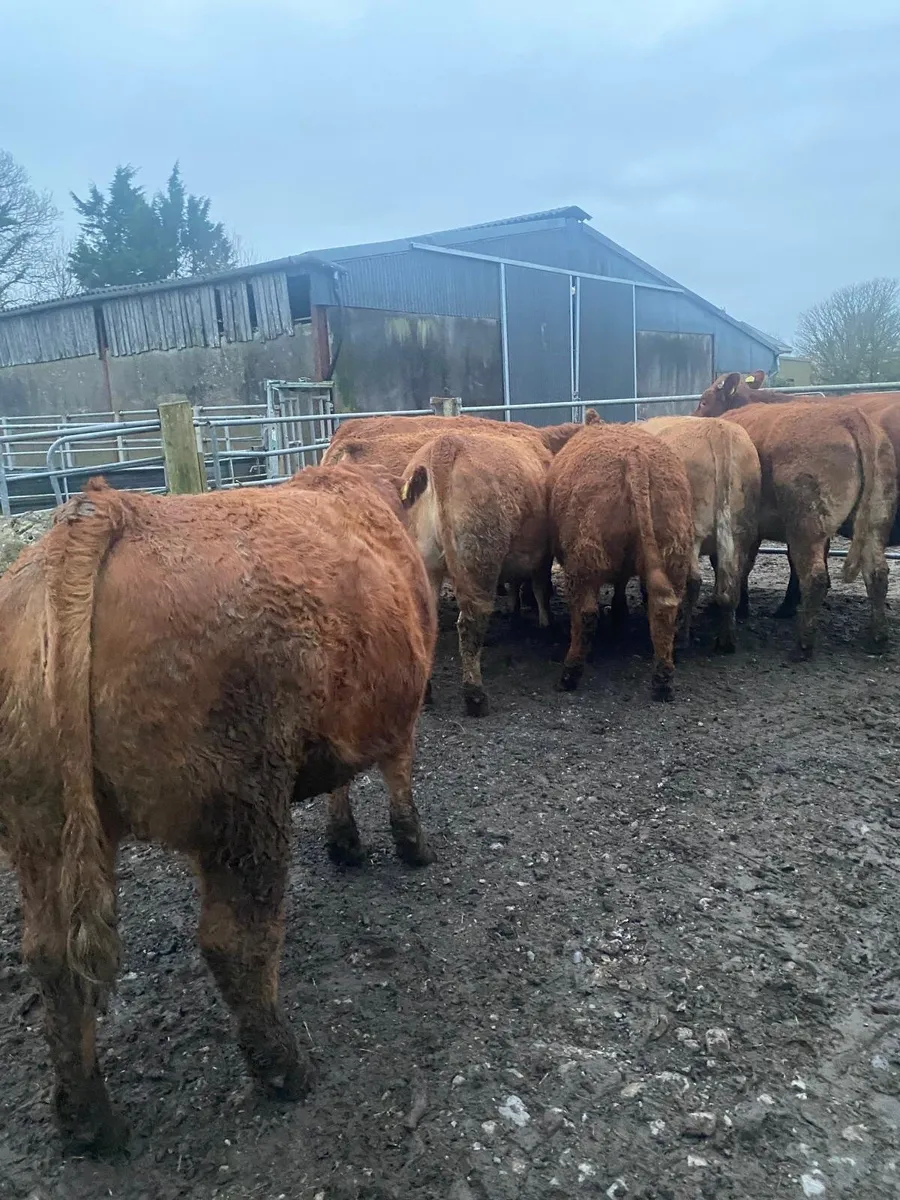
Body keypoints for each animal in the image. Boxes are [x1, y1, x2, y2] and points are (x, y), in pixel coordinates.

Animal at [0, 465, 437, 1154]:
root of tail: (104, 511)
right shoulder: (400, 709)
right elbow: (396, 775)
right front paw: (411, 845)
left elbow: (342, 784)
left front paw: (345, 844)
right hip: (244, 808)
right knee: (235, 942)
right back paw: (284, 1068)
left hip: (39, 828)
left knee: (51, 958)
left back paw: (87, 1118)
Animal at [400, 431, 553, 716]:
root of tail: (446, 444)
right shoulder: (543, 556)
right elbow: (540, 588)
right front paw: (544, 622)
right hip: (480, 561)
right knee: (471, 623)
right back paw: (475, 696)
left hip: (426, 563)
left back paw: (427, 693)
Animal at [547, 424, 696, 700]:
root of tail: (635, 457)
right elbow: (620, 583)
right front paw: (620, 613)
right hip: (674, 554)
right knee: (666, 609)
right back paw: (663, 680)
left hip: (584, 557)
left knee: (585, 614)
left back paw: (570, 673)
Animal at [641, 415, 761, 652]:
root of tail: (718, 429)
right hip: (741, 532)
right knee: (732, 582)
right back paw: (727, 639)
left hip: (692, 531)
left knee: (694, 581)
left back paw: (683, 636)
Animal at [695, 376, 896, 655]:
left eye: (704, 401)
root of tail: (852, 417)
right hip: (875, 518)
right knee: (877, 574)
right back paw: (877, 637)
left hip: (807, 523)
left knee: (815, 577)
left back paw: (803, 644)